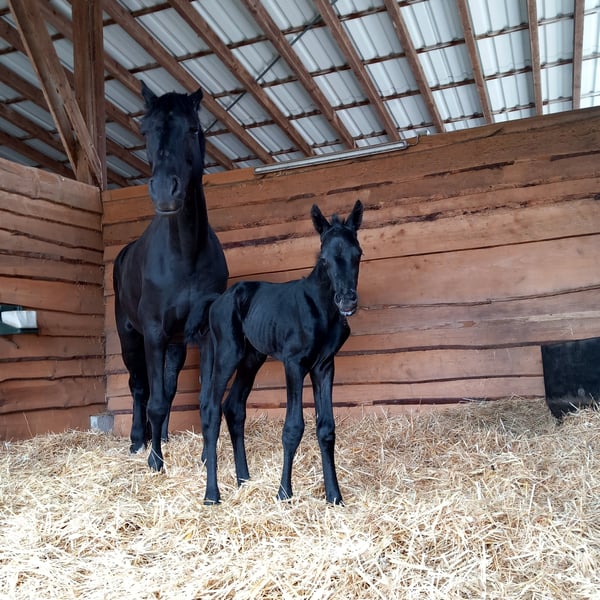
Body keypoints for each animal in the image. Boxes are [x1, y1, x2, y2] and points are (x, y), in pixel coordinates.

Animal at [113, 82, 228, 473]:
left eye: (192, 129)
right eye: (145, 131)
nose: (165, 191)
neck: (185, 255)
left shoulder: (205, 334)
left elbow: (206, 402)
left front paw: (208, 460)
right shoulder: (152, 333)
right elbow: (155, 400)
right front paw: (155, 463)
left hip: (176, 343)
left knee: (167, 385)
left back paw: (159, 437)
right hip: (130, 338)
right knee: (139, 388)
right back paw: (138, 442)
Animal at [200, 200, 364, 505]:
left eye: (357, 254)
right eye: (324, 259)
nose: (347, 301)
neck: (321, 309)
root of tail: (217, 302)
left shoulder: (324, 365)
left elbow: (326, 428)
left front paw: (334, 496)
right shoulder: (294, 363)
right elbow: (292, 428)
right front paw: (284, 493)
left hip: (252, 359)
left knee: (234, 407)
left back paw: (244, 480)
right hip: (228, 355)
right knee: (211, 409)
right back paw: (212, 494)